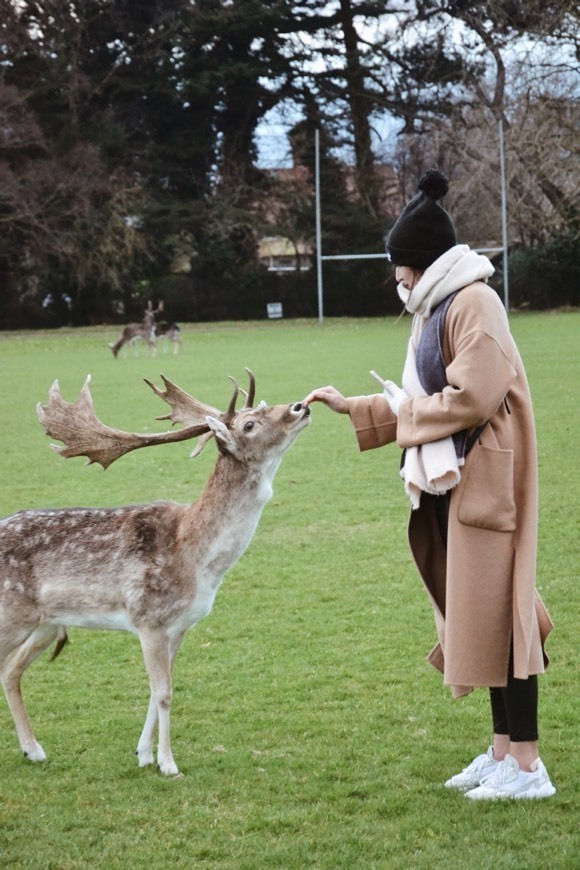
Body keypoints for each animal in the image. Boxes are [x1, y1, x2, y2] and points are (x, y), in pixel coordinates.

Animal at [0, 368, 312, 776]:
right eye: (249, 424)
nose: (301, 406)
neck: (196, 559)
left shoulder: (180, 625)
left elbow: (155, 689)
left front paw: (144, 754)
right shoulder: (148, 618)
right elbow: (164, 693)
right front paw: (168, 763)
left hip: (46, 624)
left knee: (10, 671)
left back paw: (33, 749)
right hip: (11, 615)